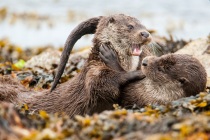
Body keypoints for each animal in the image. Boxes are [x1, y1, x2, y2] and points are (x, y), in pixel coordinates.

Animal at [0, 14, 153, 117]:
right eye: (130, 26)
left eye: (144, 26)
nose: (146, 33)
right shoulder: (93, 73)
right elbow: (103, 85)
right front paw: (136, 73)